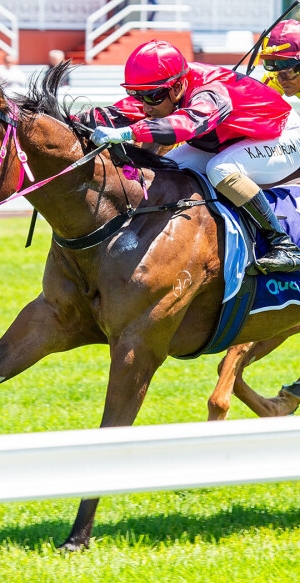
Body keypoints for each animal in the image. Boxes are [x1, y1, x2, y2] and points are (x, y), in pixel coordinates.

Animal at [0, 64, 298, 552]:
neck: (116, 219)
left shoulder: (137, 346)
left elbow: (112, 432)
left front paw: (78, 536)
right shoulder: (48, 321)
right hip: (276, 325)